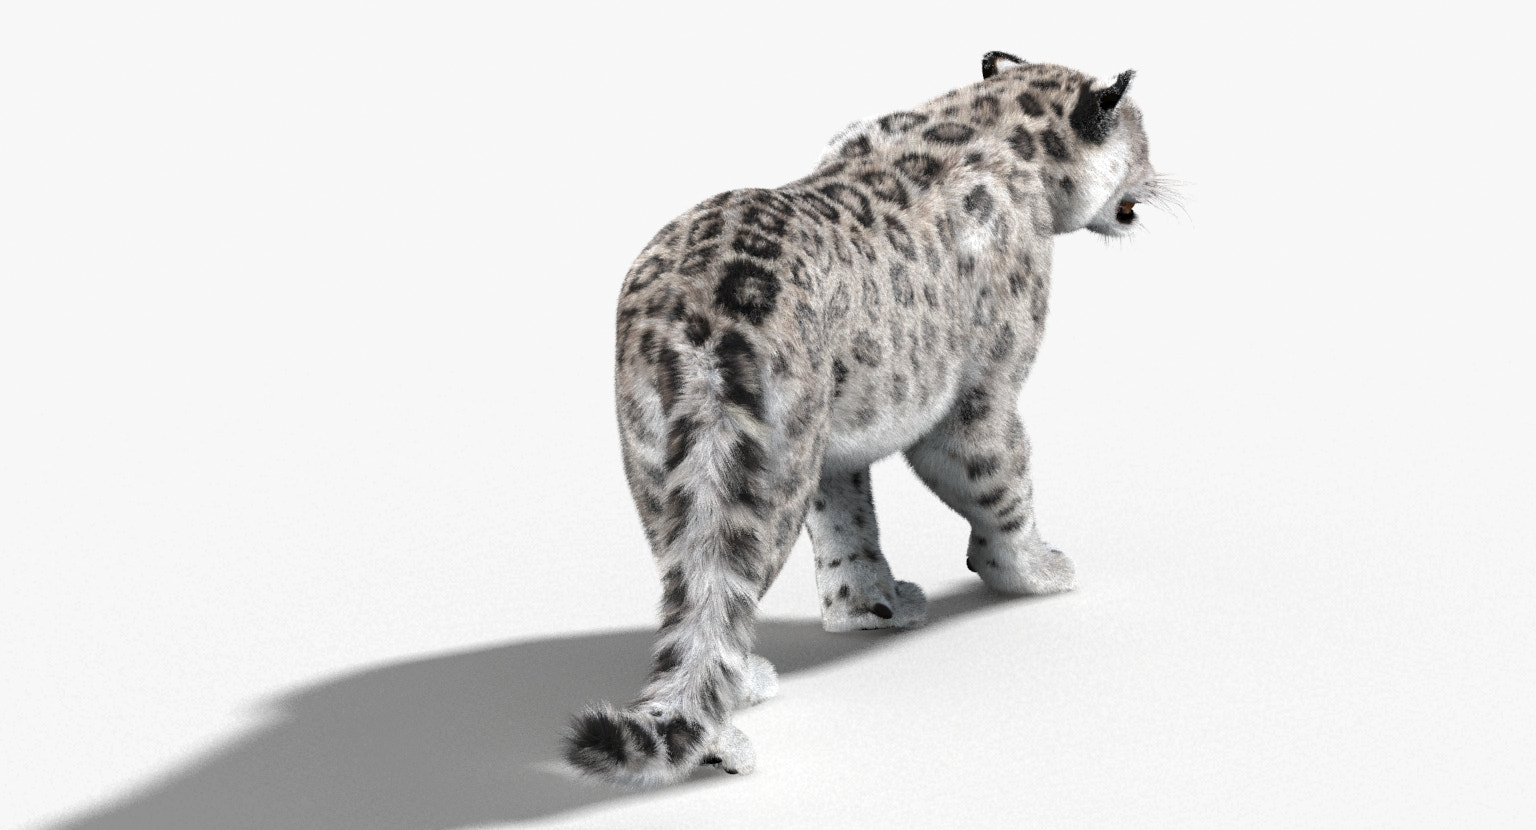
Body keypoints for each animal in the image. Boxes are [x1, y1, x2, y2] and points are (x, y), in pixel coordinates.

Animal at [565, 51, 1166, 786]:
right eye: (1141, 134)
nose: (1154, 179)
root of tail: (694, 320)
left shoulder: (839, 447)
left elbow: (847, 525)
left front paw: (869, 608)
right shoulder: (981, 397)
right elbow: (1003, 483)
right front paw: (1032, 569)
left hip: (667, 458)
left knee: (690, 584)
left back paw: (746, 680)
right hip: (766, 479)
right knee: (722, 592)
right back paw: (723, 736)